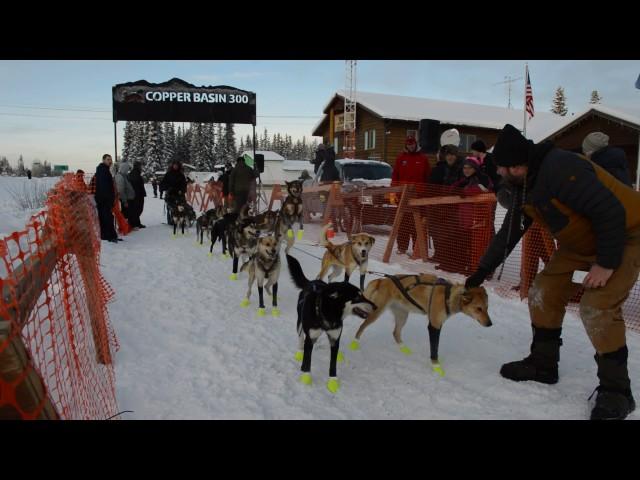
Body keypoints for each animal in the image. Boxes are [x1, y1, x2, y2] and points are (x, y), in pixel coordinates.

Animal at [284, 255, 376, 394]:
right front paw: (306, 376)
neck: (329, 313)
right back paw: (299, 350)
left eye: (363, 295)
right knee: (300, 335)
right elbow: (307, 360)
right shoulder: (310, 339)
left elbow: (333, 363)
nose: (376, 306)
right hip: (300, 322)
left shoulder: (334, 338)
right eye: (357, 297)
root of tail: (311, 282)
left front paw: (333, 381)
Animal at [350, 274, 490, 376]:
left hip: (403, 316)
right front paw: (437, 367)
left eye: (487, 308)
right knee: (362, 326)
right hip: (375, 312)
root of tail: (381, 280)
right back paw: (354, 343)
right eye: (479, 309)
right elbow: (434, 350)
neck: (449, 295)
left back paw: (404, 349)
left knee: (395, 333)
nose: (490, 323)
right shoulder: (434, 325)